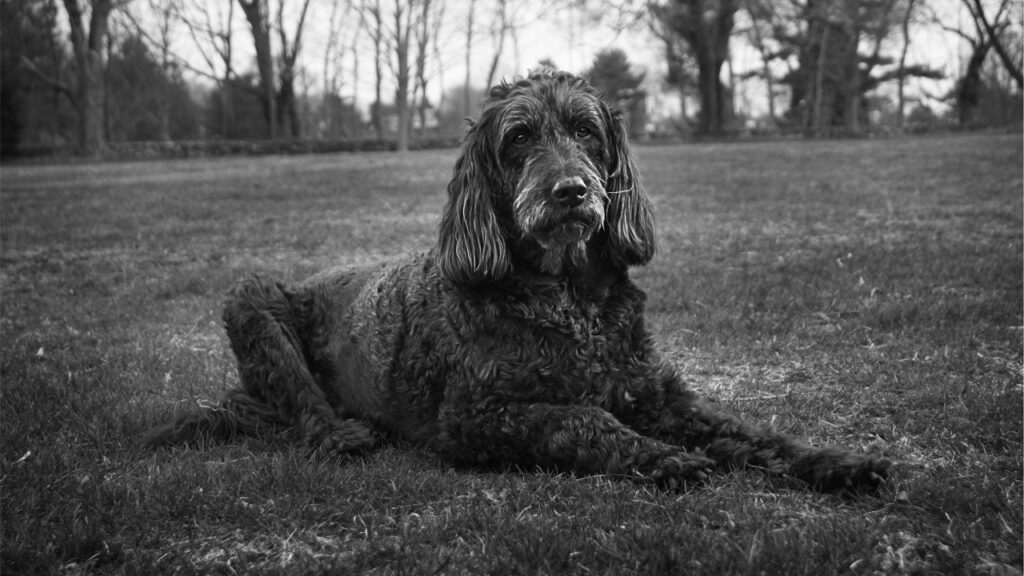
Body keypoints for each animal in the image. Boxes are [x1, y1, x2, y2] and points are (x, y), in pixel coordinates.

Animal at [148, 67, 892, 487]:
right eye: (519, 139)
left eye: (587, 132)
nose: (571, 191)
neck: (568, 301)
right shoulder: (476, 417)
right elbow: (580, 417)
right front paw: (661, 457)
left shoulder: (658, 395)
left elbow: (751, 433)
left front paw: (834, 461)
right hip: (253, 300)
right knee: (303, 409)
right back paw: (342, 431)